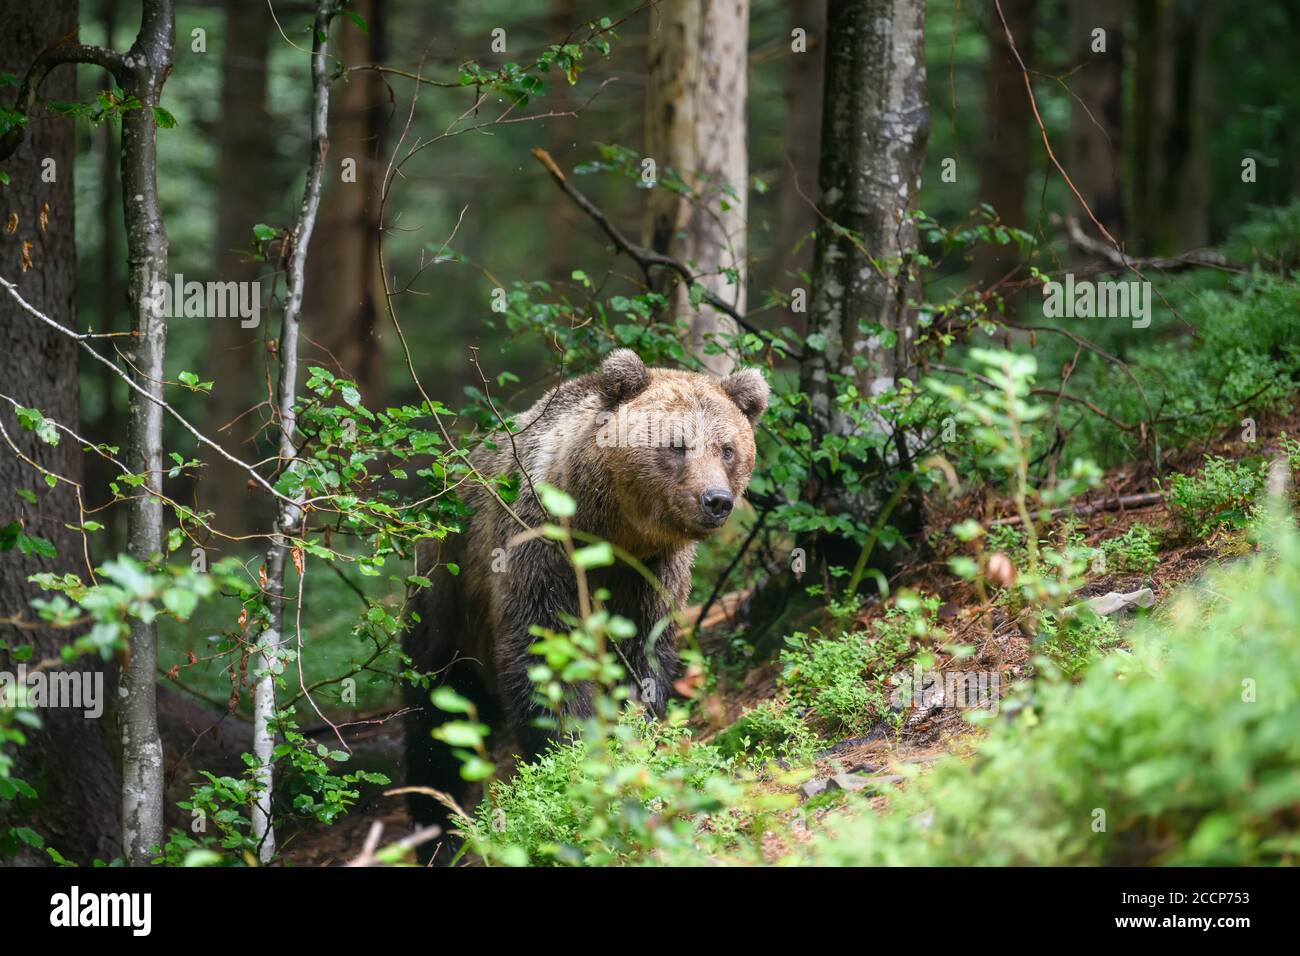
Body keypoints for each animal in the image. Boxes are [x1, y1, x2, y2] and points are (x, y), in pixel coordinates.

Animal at [401, 349, 768, 859]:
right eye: (676, 444)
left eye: (728, 449)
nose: (716, 500)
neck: (611, 532)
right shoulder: (542, 554)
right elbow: (546, 660)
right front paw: (570, 755)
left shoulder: (651, 577)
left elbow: (642, 663)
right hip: (446, 592)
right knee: (435, 712)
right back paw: (436, 830)